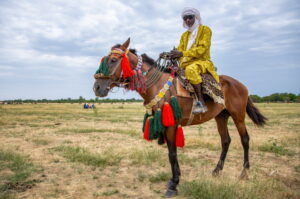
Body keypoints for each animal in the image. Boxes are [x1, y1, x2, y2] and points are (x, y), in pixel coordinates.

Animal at [92, 38, 266, 197]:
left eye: (113, 60)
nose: (97, 87)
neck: (156, 84)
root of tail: (241, 85)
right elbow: (171, 152)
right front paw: (174, 180)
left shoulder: (171, 124)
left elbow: (172, 154)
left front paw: (174, 185)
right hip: (221, 116)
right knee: (226, 141)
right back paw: (217, 170)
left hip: (238, 115)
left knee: (245, 139)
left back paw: (244, 172)